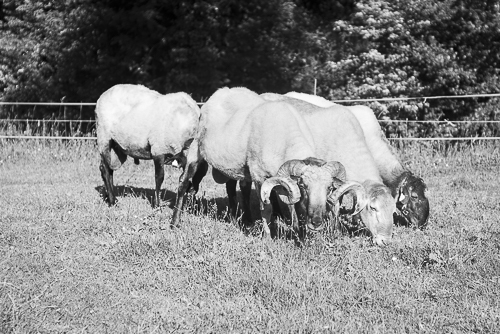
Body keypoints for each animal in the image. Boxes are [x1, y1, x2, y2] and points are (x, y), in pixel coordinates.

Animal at [195, 87, 364, 236]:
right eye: (303, 185)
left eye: (329, 188)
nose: (316, 222)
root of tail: (222, 91)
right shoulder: (259, 177)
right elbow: (266, 208)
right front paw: (268, 236)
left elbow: (297, 210)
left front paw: (300, 236)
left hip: (236, 166)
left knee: (236, 187)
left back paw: (245, 219)